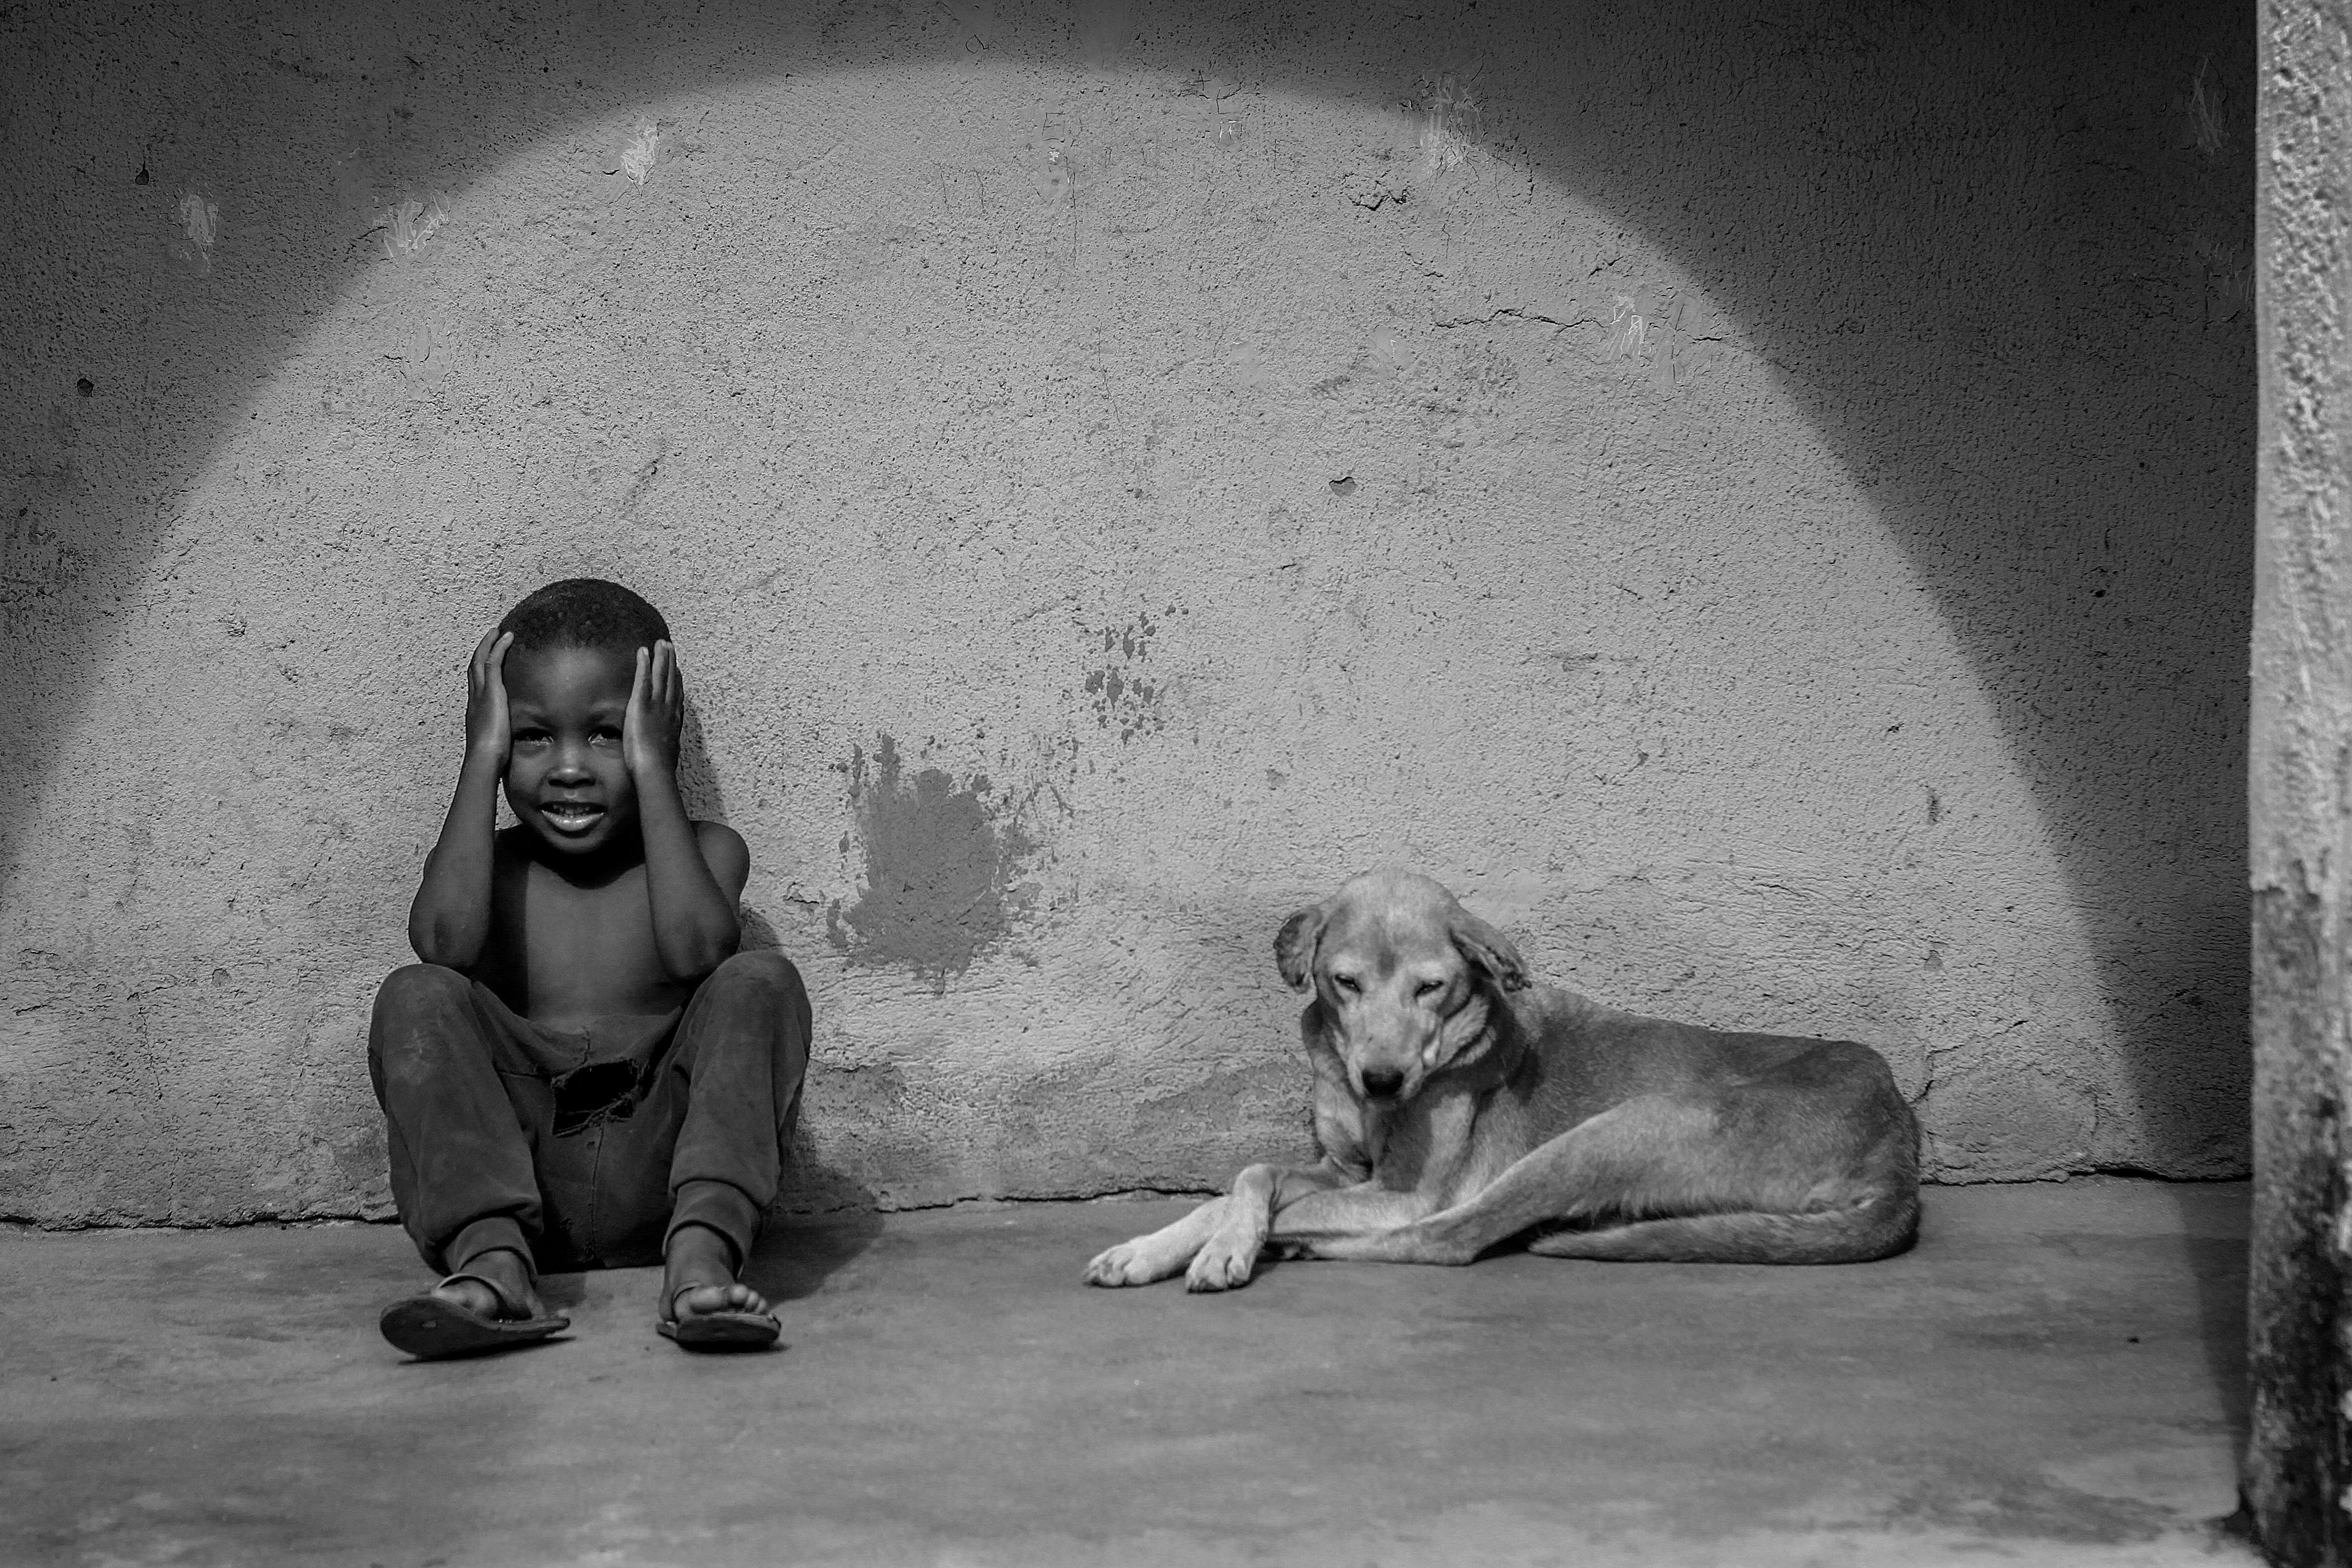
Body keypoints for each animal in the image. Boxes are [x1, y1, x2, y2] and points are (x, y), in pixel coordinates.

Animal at [1091, 870, 1919, 1288]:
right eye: (1345, 983)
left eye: (1431, 987)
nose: (1383, 1079)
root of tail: (1900, 1144)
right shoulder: (1344, 1169)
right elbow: (1247, 1180)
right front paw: (1156, 1248)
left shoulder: (1403, 1193)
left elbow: (1279, 1197)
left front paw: (1230, 1250)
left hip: (1613, 1132)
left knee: (1453, 1238)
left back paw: (1310, 1248)